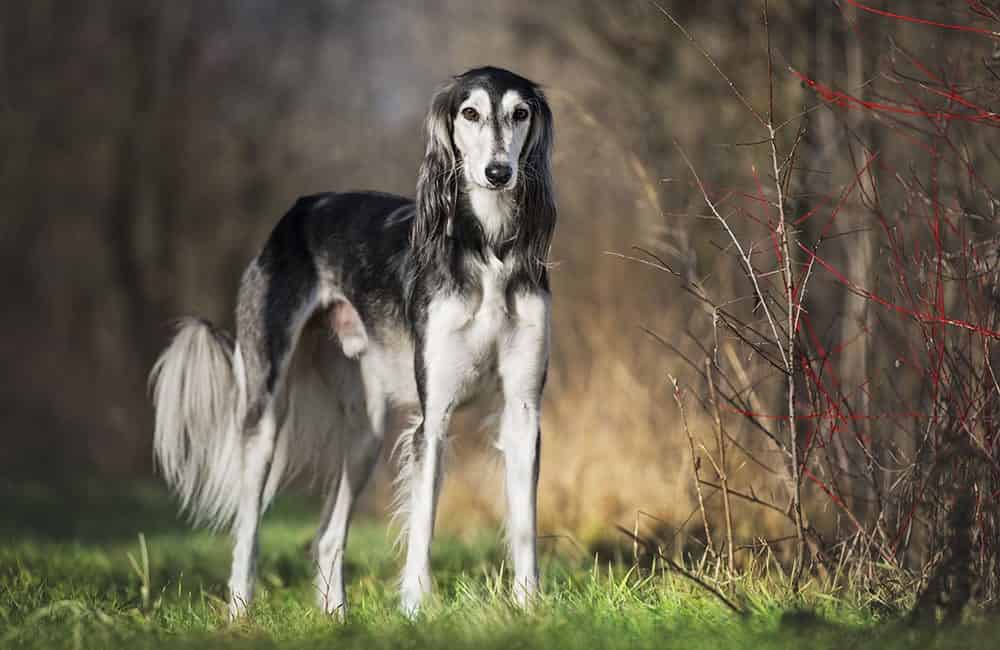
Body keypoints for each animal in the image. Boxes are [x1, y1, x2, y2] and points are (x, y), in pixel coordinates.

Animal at [150, 67, 556, 616]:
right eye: (469, 113)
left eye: (520, 113)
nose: (498, 172)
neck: (487, 250)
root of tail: (301, 209)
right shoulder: (434, 415)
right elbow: (423, 524)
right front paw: (414, 610)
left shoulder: (523, 410)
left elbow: (525, 525)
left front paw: (529, 608)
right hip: (265, 407)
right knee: (247, 529)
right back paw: (239, 610)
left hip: (366, 429)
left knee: (326, 536)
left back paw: (335, 617)